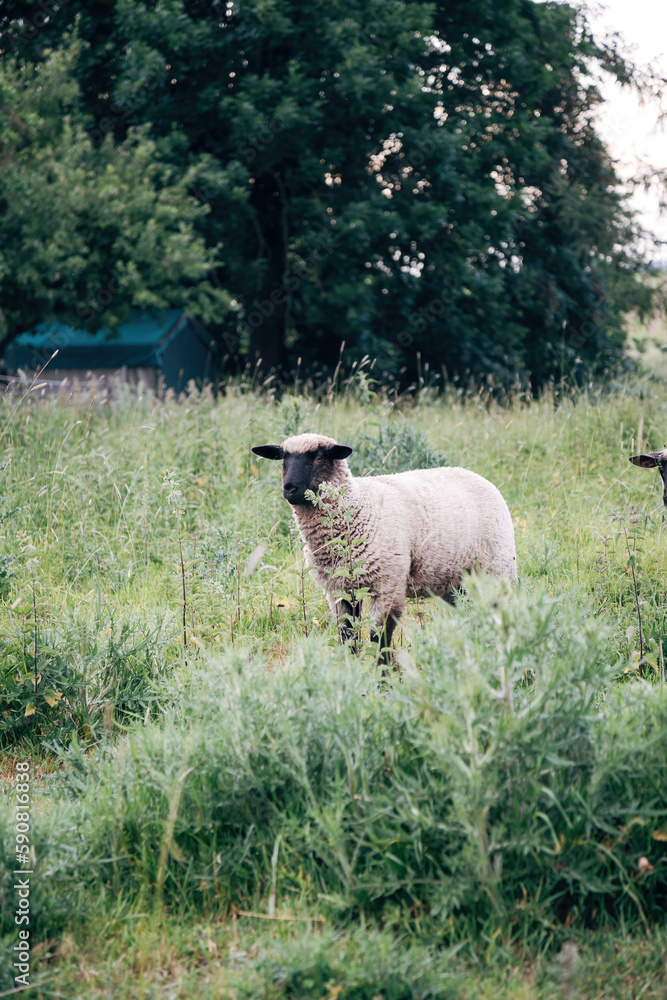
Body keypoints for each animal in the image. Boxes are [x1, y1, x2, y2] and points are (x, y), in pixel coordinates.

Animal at [252, 432, 517, 659]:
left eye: (318, 457)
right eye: (284, 458)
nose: (290, 489)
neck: (358, 508)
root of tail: (475, 475)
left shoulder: (388, 585)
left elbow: (380, 639)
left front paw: (383, 682)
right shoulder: (340, 591)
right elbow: (348, 636)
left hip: (496, 569)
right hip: (456, 583)